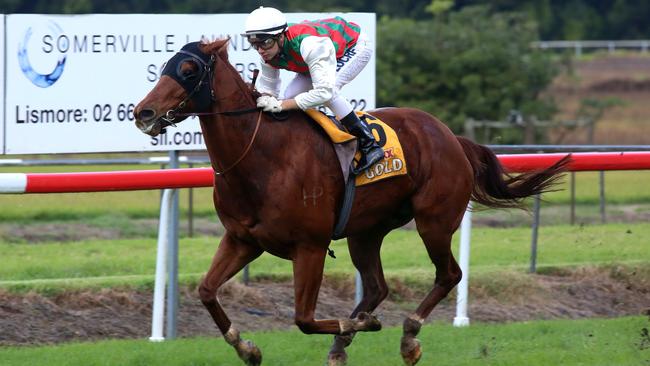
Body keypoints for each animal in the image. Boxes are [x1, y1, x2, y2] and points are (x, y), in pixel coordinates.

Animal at [134, 38, 564, 364]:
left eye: (189, 70)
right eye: (165, 65)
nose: (143, 112)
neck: (261, 155)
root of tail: (450, 136)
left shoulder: (310, 246)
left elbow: (304, 318)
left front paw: (361, 325)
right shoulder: (242, 240)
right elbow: (206, 291)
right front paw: (247, 348)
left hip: (434, 221)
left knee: (449, 275)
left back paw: (407, 337)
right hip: (365, 232)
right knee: (377, 288)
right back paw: (344, 344)